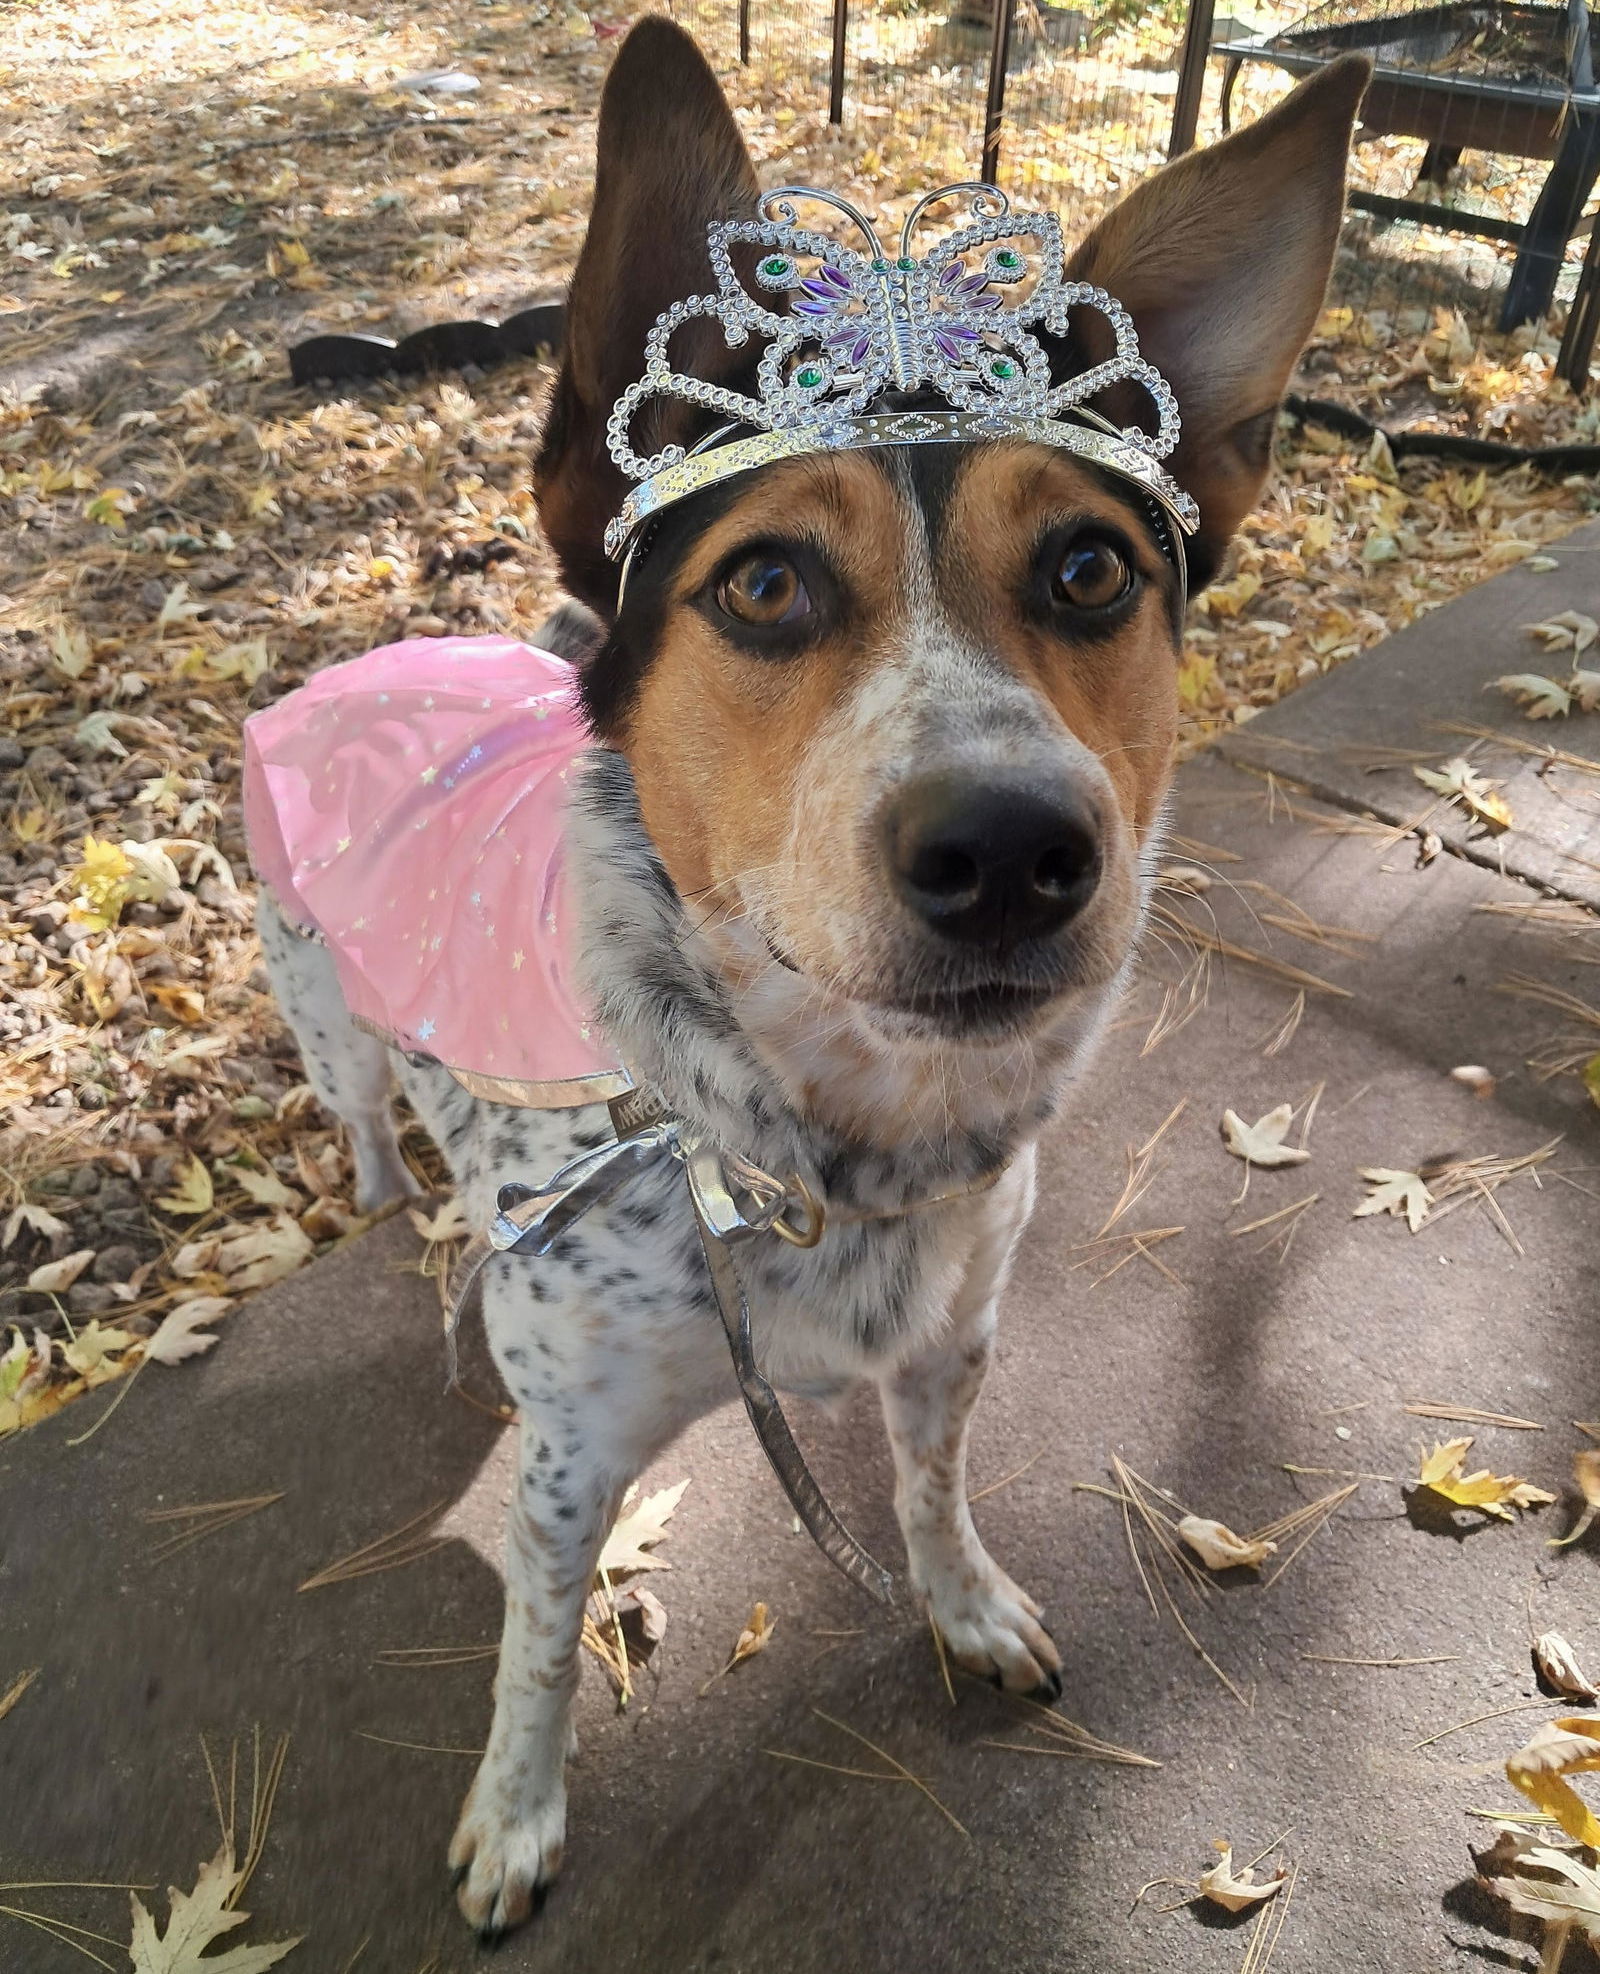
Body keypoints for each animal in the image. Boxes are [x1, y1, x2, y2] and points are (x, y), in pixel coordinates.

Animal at [256, 23, 1373, 1934]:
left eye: (1092, 566)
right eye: (766, 581)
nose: (1008, 848)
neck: (817, 1145)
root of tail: (365, 655)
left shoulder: (951, 1343)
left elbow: (930, 1493)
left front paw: (965, 1601)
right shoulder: (570, 1466)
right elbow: (536, 1649)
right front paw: (516, 1813)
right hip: (324, 1015)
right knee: (366, 1123)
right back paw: (402, 1204)